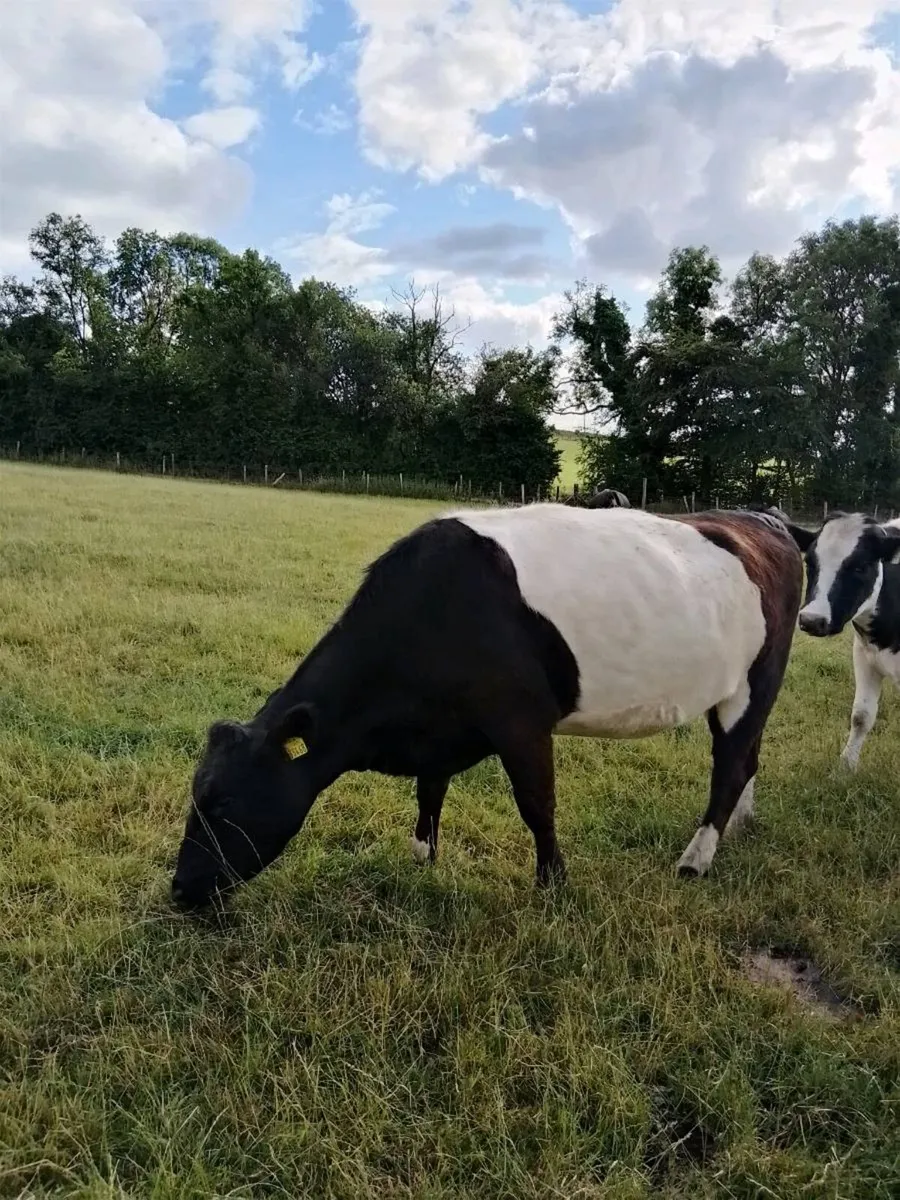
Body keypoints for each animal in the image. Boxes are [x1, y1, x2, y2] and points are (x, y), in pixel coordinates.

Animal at [171, 504, 803, 911]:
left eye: (222, 802)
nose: (178, 890)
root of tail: (765, 521)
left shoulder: (520, 722)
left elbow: (537, 805)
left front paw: (553, 887)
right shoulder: (438, 731)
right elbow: (429, 791)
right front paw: (421, 857)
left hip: (755, 682)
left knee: (730, 767)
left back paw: (696, 858)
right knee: (749, 760)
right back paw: (738, 827)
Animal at [777, 510, 900, 770]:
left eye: (861, 567)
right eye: (809, 562)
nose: (812, 620)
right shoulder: (864, 654)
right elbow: (861, 716)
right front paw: (847, 765)